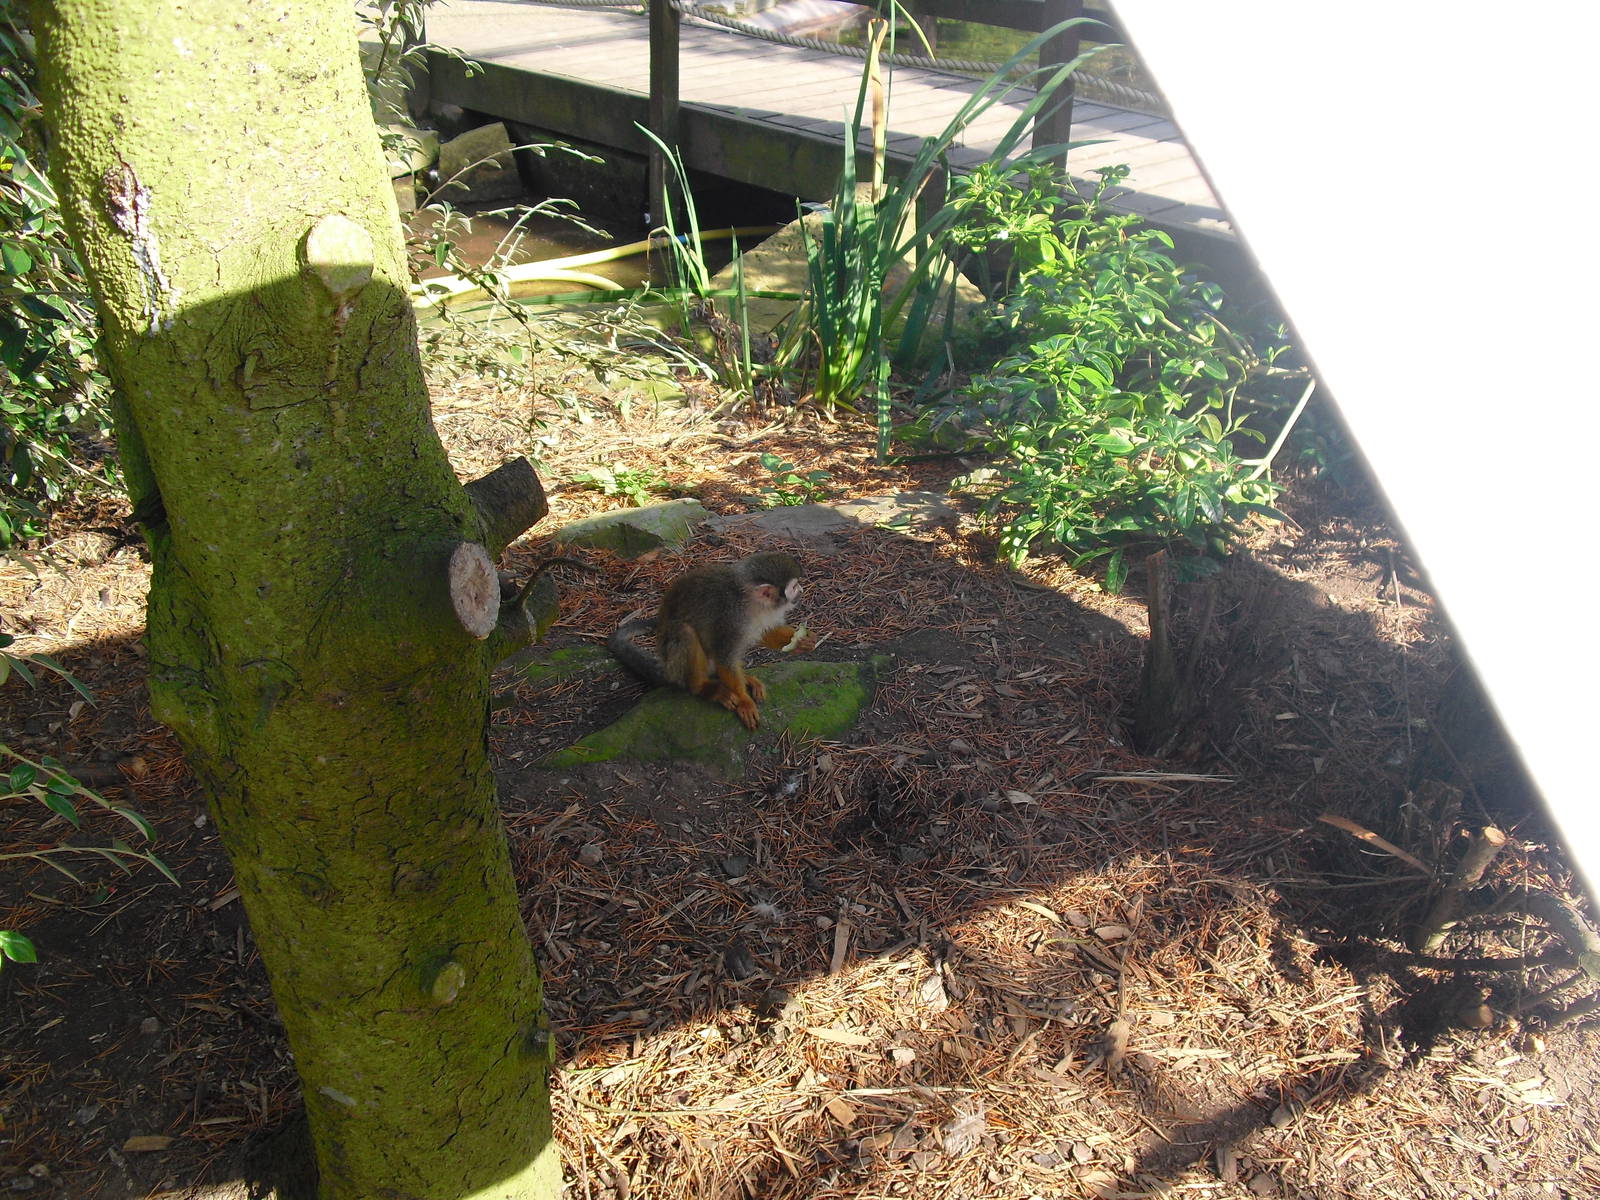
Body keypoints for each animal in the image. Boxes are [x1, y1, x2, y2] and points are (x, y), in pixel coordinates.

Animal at [607, 551, 813, 729]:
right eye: (793, 587)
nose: (802, 590)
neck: (752, 604)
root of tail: (668, 670)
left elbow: (764, 631)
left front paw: (802, 641)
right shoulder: (731, 617)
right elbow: (725, 657)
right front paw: (744, 702)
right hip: (676, 664)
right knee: (685, 631)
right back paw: (703, 687)